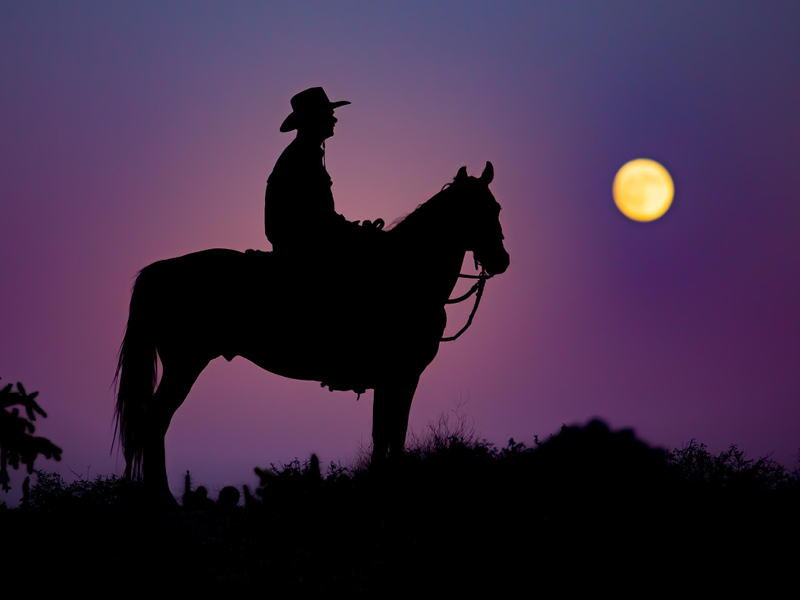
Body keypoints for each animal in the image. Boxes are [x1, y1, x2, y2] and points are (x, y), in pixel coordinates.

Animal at [114, 162, 506, 504]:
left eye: (496, 207)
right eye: (476, 209)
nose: (502, 260)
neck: (406, 276)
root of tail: (158, 271)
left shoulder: (394, 378)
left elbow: (385, 434)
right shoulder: (401, 376)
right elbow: (391, 433)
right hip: (185, 364)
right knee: (155, 421)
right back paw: (162, 498)